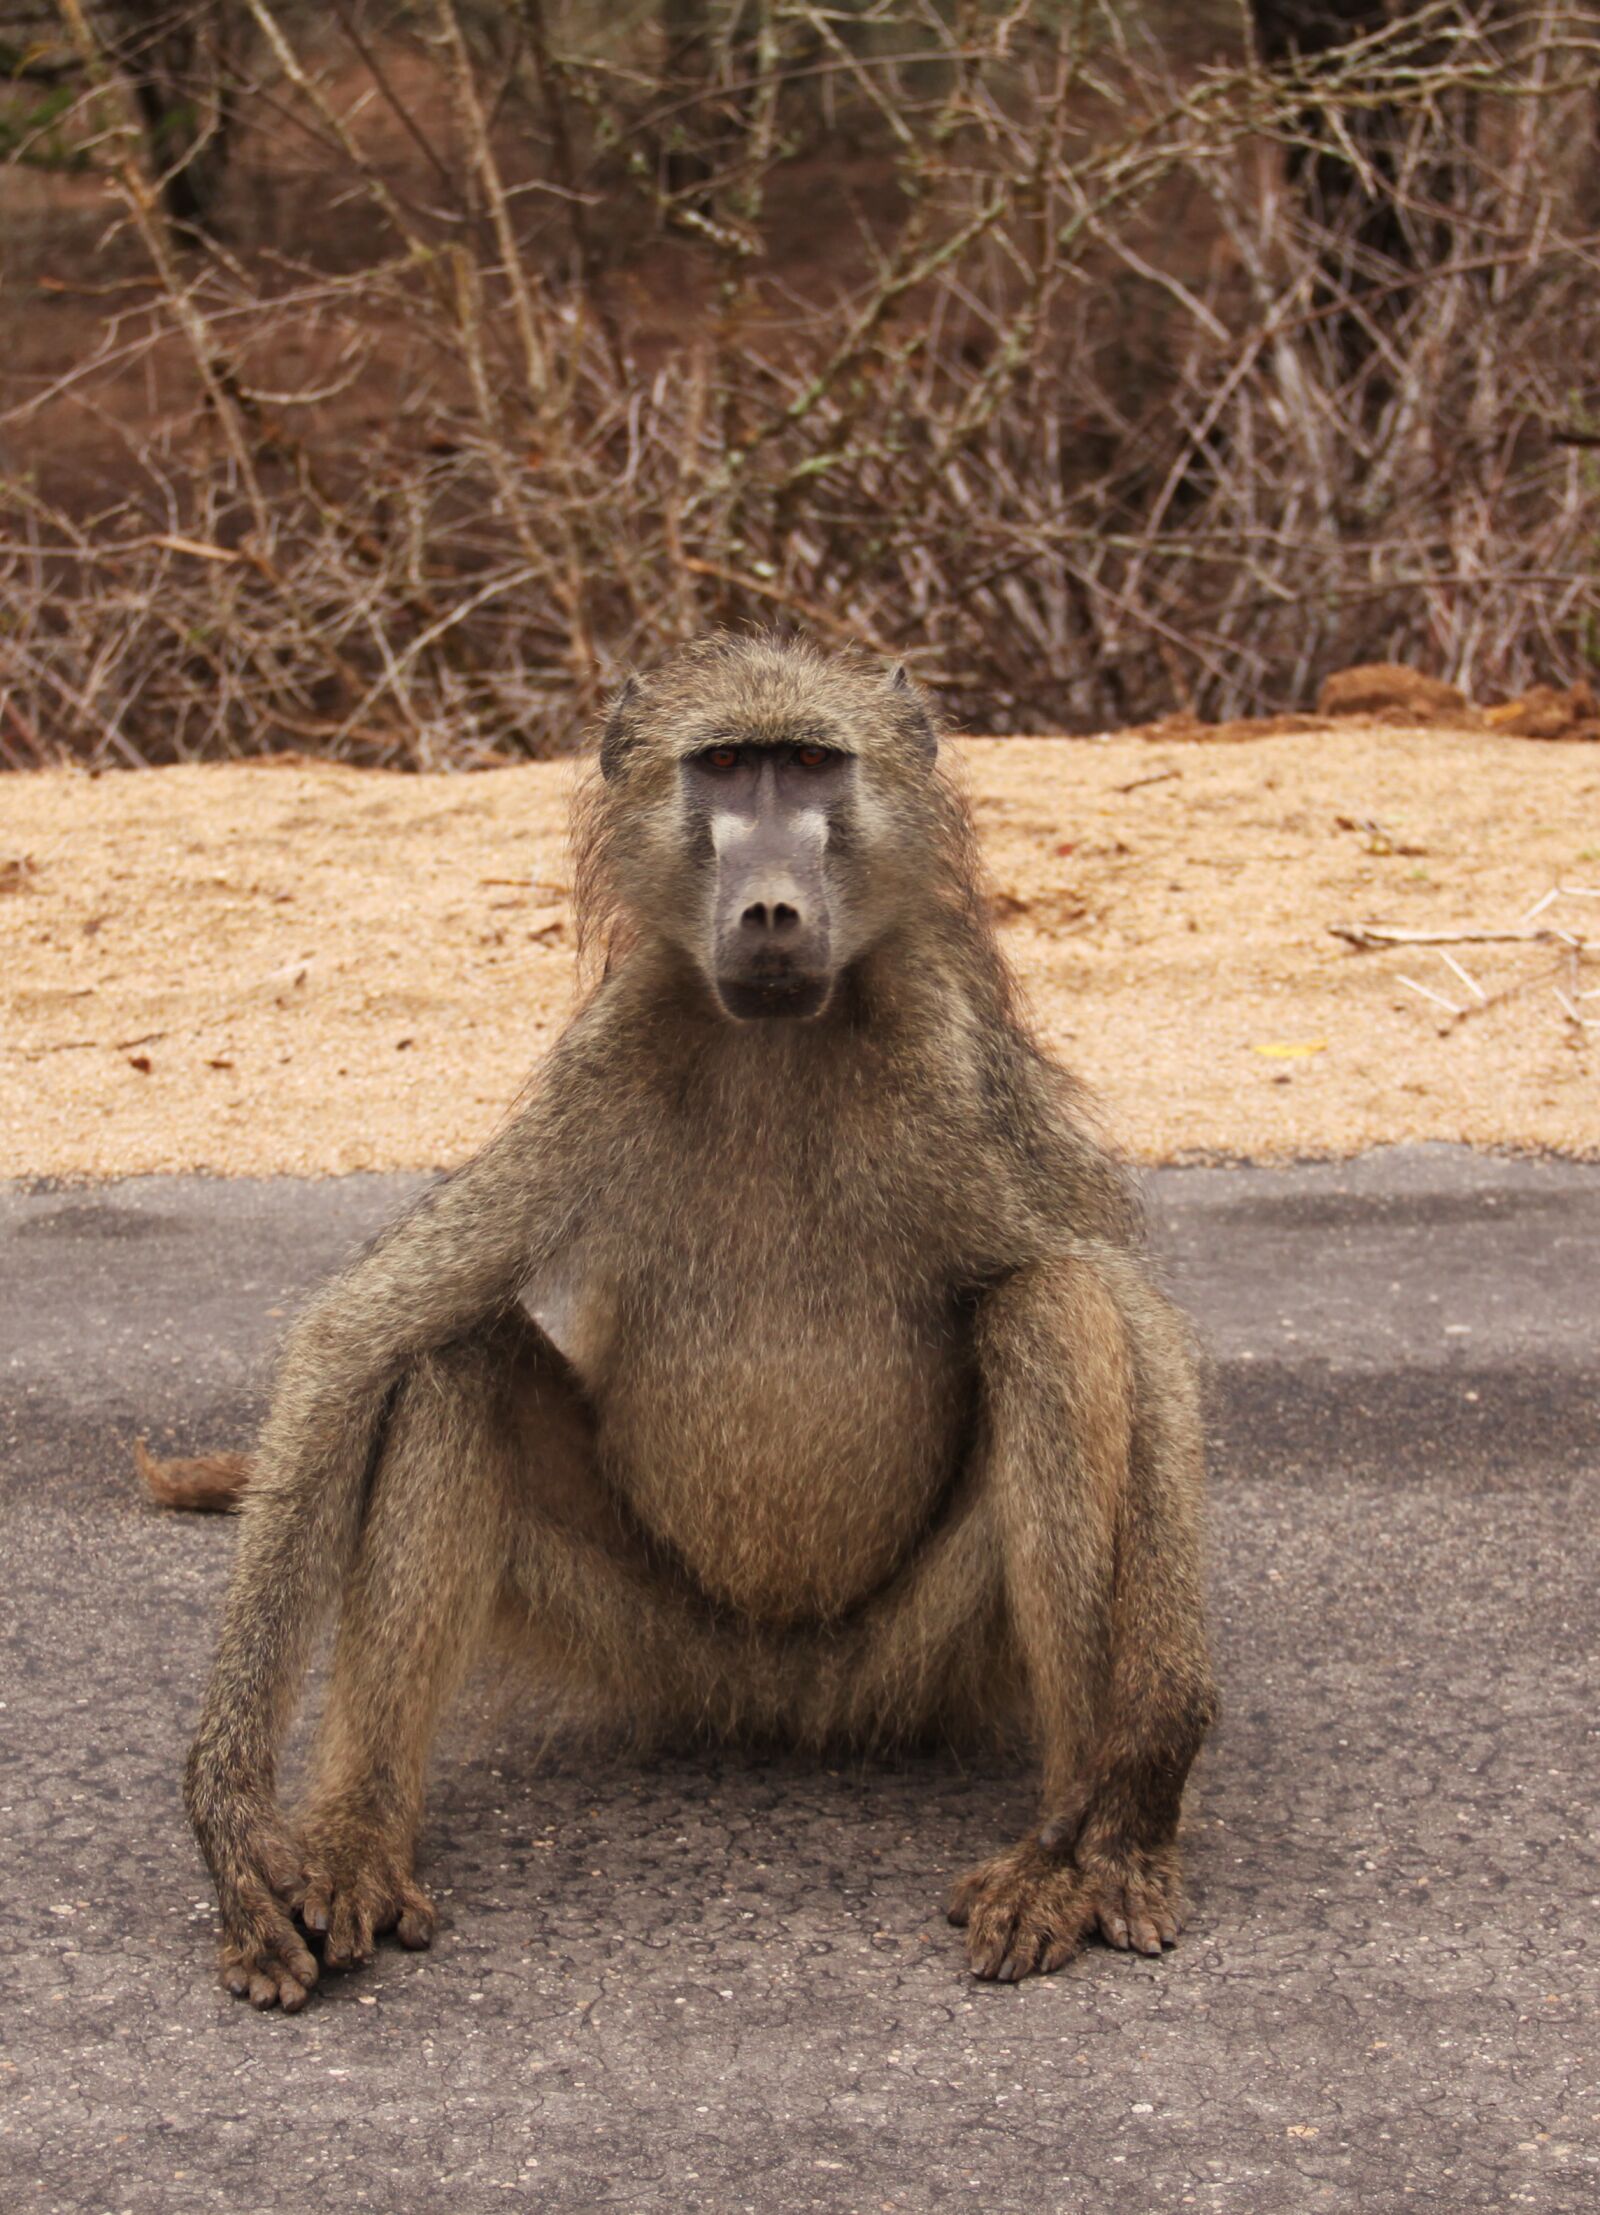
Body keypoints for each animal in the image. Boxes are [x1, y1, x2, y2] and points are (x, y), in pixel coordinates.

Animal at [167, 631, 1216, 2012]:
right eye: (723, 768)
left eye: (809, 765)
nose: (770, 909)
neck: (776, 1041)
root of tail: (785, 1696)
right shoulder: (605, 1060)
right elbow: (361, 1333)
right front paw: (234, 1819)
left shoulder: (951, 1068)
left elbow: (1137, 1323)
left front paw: (1149, 1769)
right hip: (658, 1642)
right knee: (454, 1360)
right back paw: (356, 1843)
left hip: (918, 1657)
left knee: (1052, 1316)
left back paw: (1068, 1851)